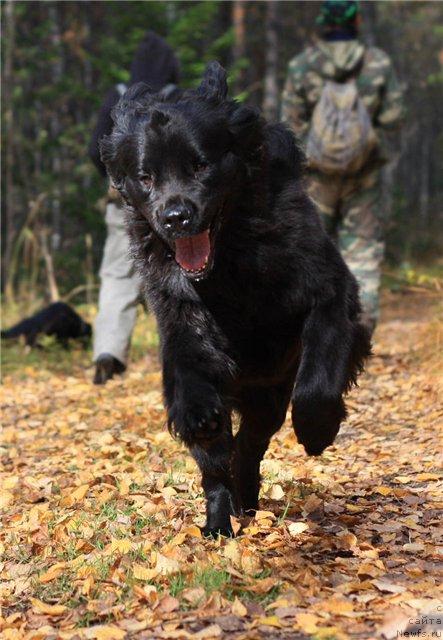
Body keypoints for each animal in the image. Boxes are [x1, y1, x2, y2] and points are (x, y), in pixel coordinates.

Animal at [100, 62, 372, 536]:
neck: (230, 258)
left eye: (201, 165)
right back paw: (219, 520)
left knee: (249, 445)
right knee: (220, 462)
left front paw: (318, 429)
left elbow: (318, 376)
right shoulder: (179, 312)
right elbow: (190, 367)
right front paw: (199, 413)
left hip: (269, 394)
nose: (175, 217)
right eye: (146, 177)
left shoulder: (329, 292)